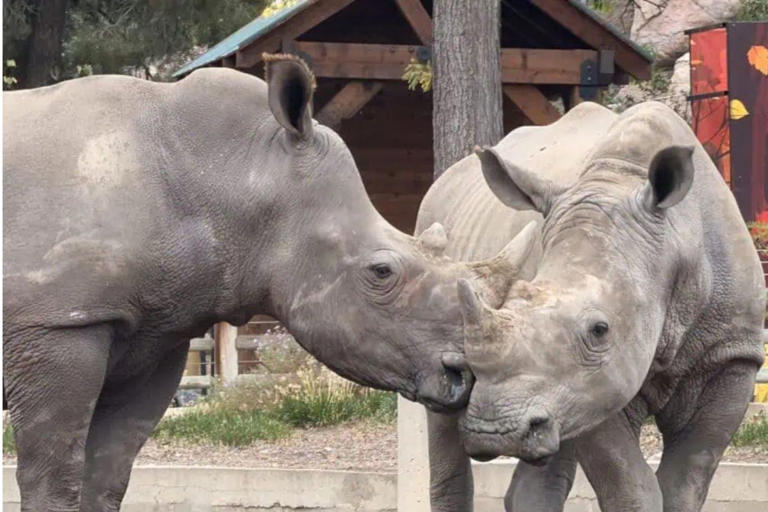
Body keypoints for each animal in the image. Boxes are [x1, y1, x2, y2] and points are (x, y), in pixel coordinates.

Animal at [2, 56, 528, 511]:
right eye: (382, 272)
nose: (464, 374)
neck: (231, 175)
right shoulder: (58, 323)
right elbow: (55, 478)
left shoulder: (157, 332)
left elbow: (107, 476)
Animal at [417, 102, 765, 512]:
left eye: (599, 330)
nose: (495, 431)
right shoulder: (591, 383)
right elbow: (630, 485)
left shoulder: (729, 354)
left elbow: (686, 481)